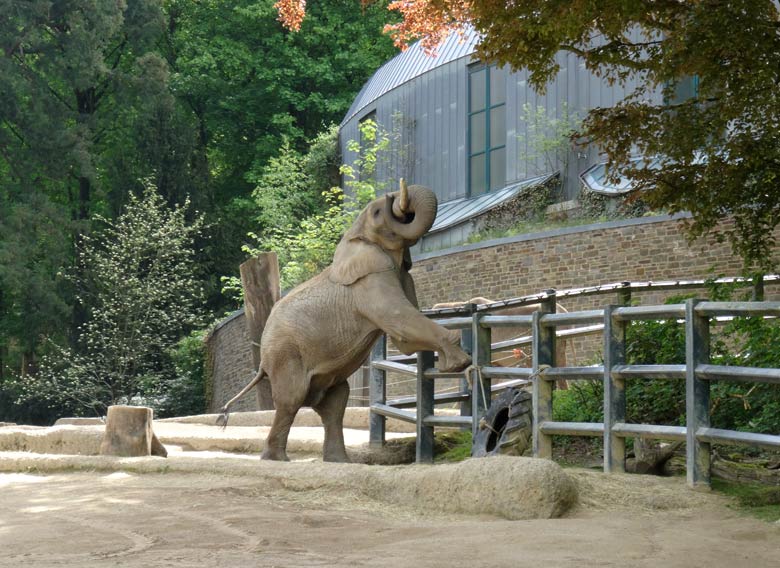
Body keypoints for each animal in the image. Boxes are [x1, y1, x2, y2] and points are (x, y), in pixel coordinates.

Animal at [218, 182, 470, 462]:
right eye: (378, 212)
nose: (393, 197)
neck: (355, 236)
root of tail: (263, 360)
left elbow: (404, 337)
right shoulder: (369, 281)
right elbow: (400, 321)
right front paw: (460, 362)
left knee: (335, 403)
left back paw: (339, 460)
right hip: (285, 355)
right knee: (291, 401)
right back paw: (277, 459)